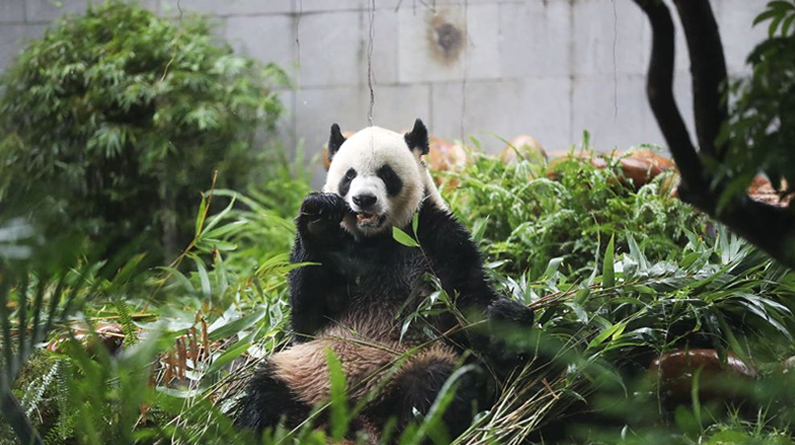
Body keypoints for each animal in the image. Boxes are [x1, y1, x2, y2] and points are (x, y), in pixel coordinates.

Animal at [235, 118, 536, 440]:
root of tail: (355, 414)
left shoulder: (437, 239)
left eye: (386, 174)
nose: (363, 199)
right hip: (306, 372)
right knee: (267, 397)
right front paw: (318, 217)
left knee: (435, 390)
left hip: (411, 360)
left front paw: (508, 317)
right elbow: (307, 318)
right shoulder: (339, 251)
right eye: (349, 175)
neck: (378, 238)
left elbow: (471, 303)